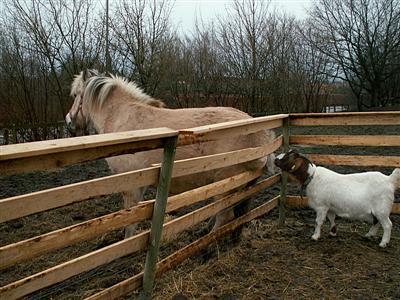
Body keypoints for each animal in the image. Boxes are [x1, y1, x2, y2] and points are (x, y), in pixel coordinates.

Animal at [65, 69, 276, 237]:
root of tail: (262, 133)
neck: (121, 118)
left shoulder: (130, 184)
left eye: (75, 95)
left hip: (226, 184)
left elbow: (130, 222)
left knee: (224, 216)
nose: (69, 122)